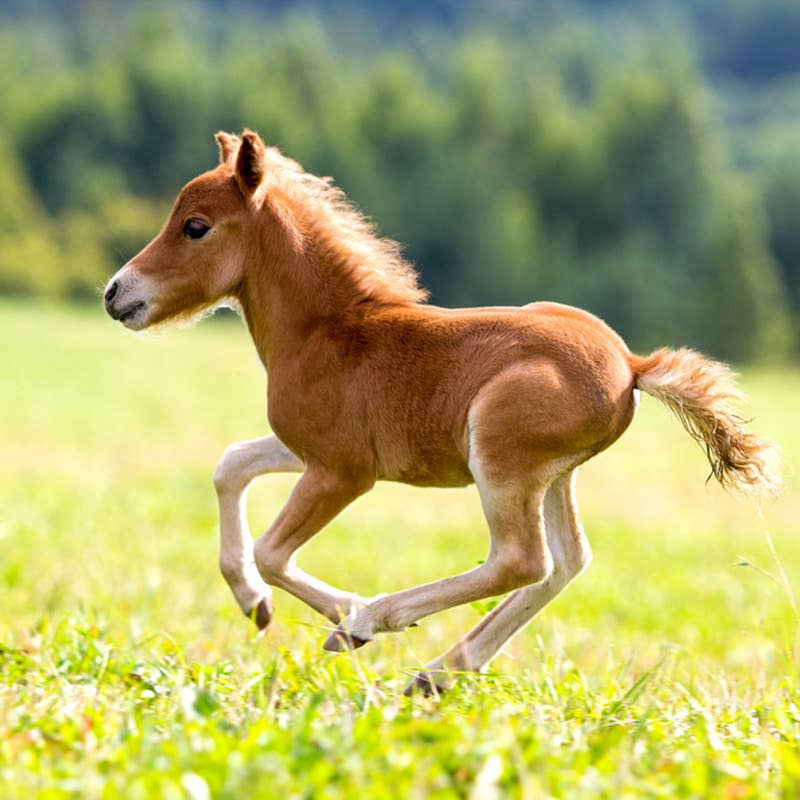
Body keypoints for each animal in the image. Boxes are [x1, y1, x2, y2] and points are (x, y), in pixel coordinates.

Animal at [104, 129, 780, 695]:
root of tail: (632, 365)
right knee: (566, 563)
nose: (115, 293)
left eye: (195, 226)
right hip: (554, 476)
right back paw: (438, 672)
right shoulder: (307, 450)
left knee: (521, 561)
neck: (330, 331)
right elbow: (230, 466)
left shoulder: (343, 471)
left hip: (501, 460)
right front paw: (253, 603)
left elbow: (273, 551)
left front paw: (346, 617)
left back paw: (379, 622)